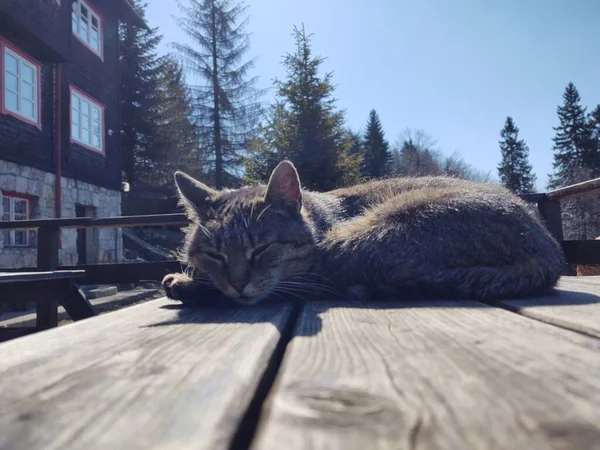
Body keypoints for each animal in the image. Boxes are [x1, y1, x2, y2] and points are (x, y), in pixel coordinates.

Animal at [162, 159, 564, 306]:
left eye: (260, 250)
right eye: (214, 254)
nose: (237, 284)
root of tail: (548, 248)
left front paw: (189, 281)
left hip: (382, 228)